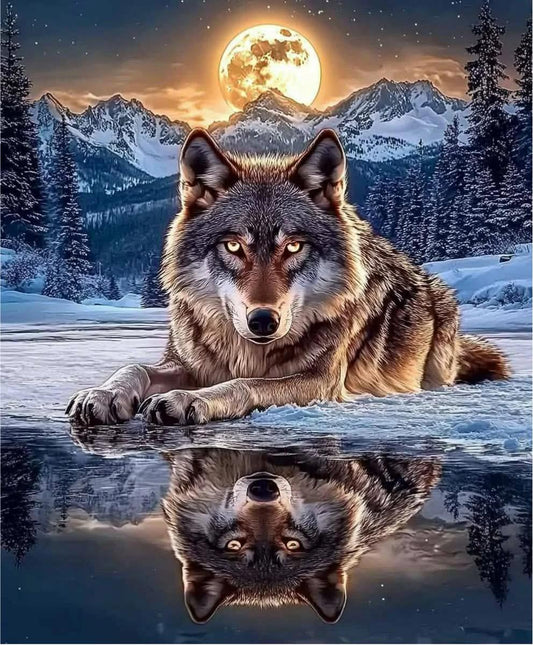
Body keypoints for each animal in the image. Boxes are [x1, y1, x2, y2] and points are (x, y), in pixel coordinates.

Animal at [67, 127, 510, 426]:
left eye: (293, 246)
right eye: (234, 246)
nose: (263, 320)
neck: (246, 350)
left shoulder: (319, 382)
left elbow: (246, 384)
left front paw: (191, 401)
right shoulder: (188, 363)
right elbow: (135, 368)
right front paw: (102, 394)